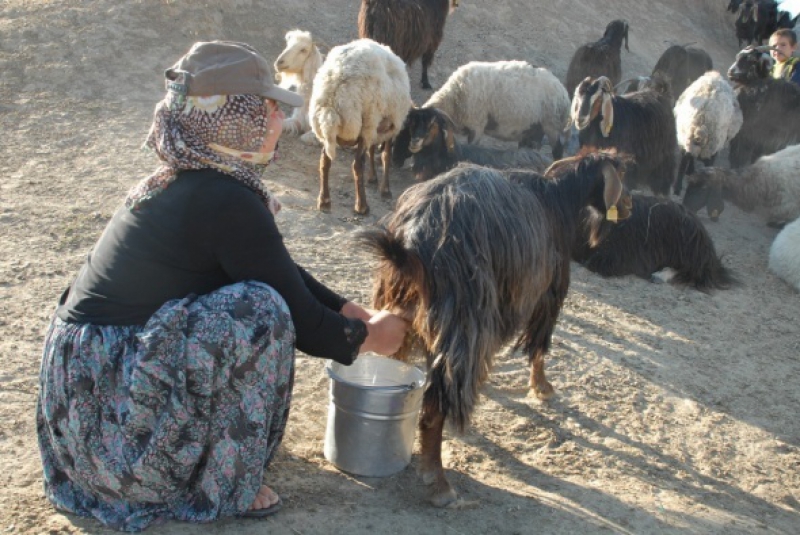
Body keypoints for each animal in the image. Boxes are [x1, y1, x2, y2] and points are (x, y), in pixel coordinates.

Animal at [310, 38, 412, 216]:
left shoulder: (376, 129)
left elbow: (373, 151)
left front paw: (373, 178)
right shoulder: (387, 126)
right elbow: (385, 156)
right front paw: (385, 190)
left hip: (330, 131)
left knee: (325, 161)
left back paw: (324, 201)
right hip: (366, 121)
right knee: (357, 164)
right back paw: (362, 206)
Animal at [358, 153, 632, 508]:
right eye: (623, 176)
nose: (629, 205)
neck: (557, 199)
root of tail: (412, 240)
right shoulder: (549, 292)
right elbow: (540, 345)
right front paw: (542, 387)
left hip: (400, 306)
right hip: (463, 321)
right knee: (435, 405)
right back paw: (439, 484)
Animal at [422, 60, 572, 159]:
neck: (454, 97)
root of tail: (563, 92)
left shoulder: (477, 126)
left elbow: (472, 148)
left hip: (551, 125)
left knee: (557, 150)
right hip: (534, 129)